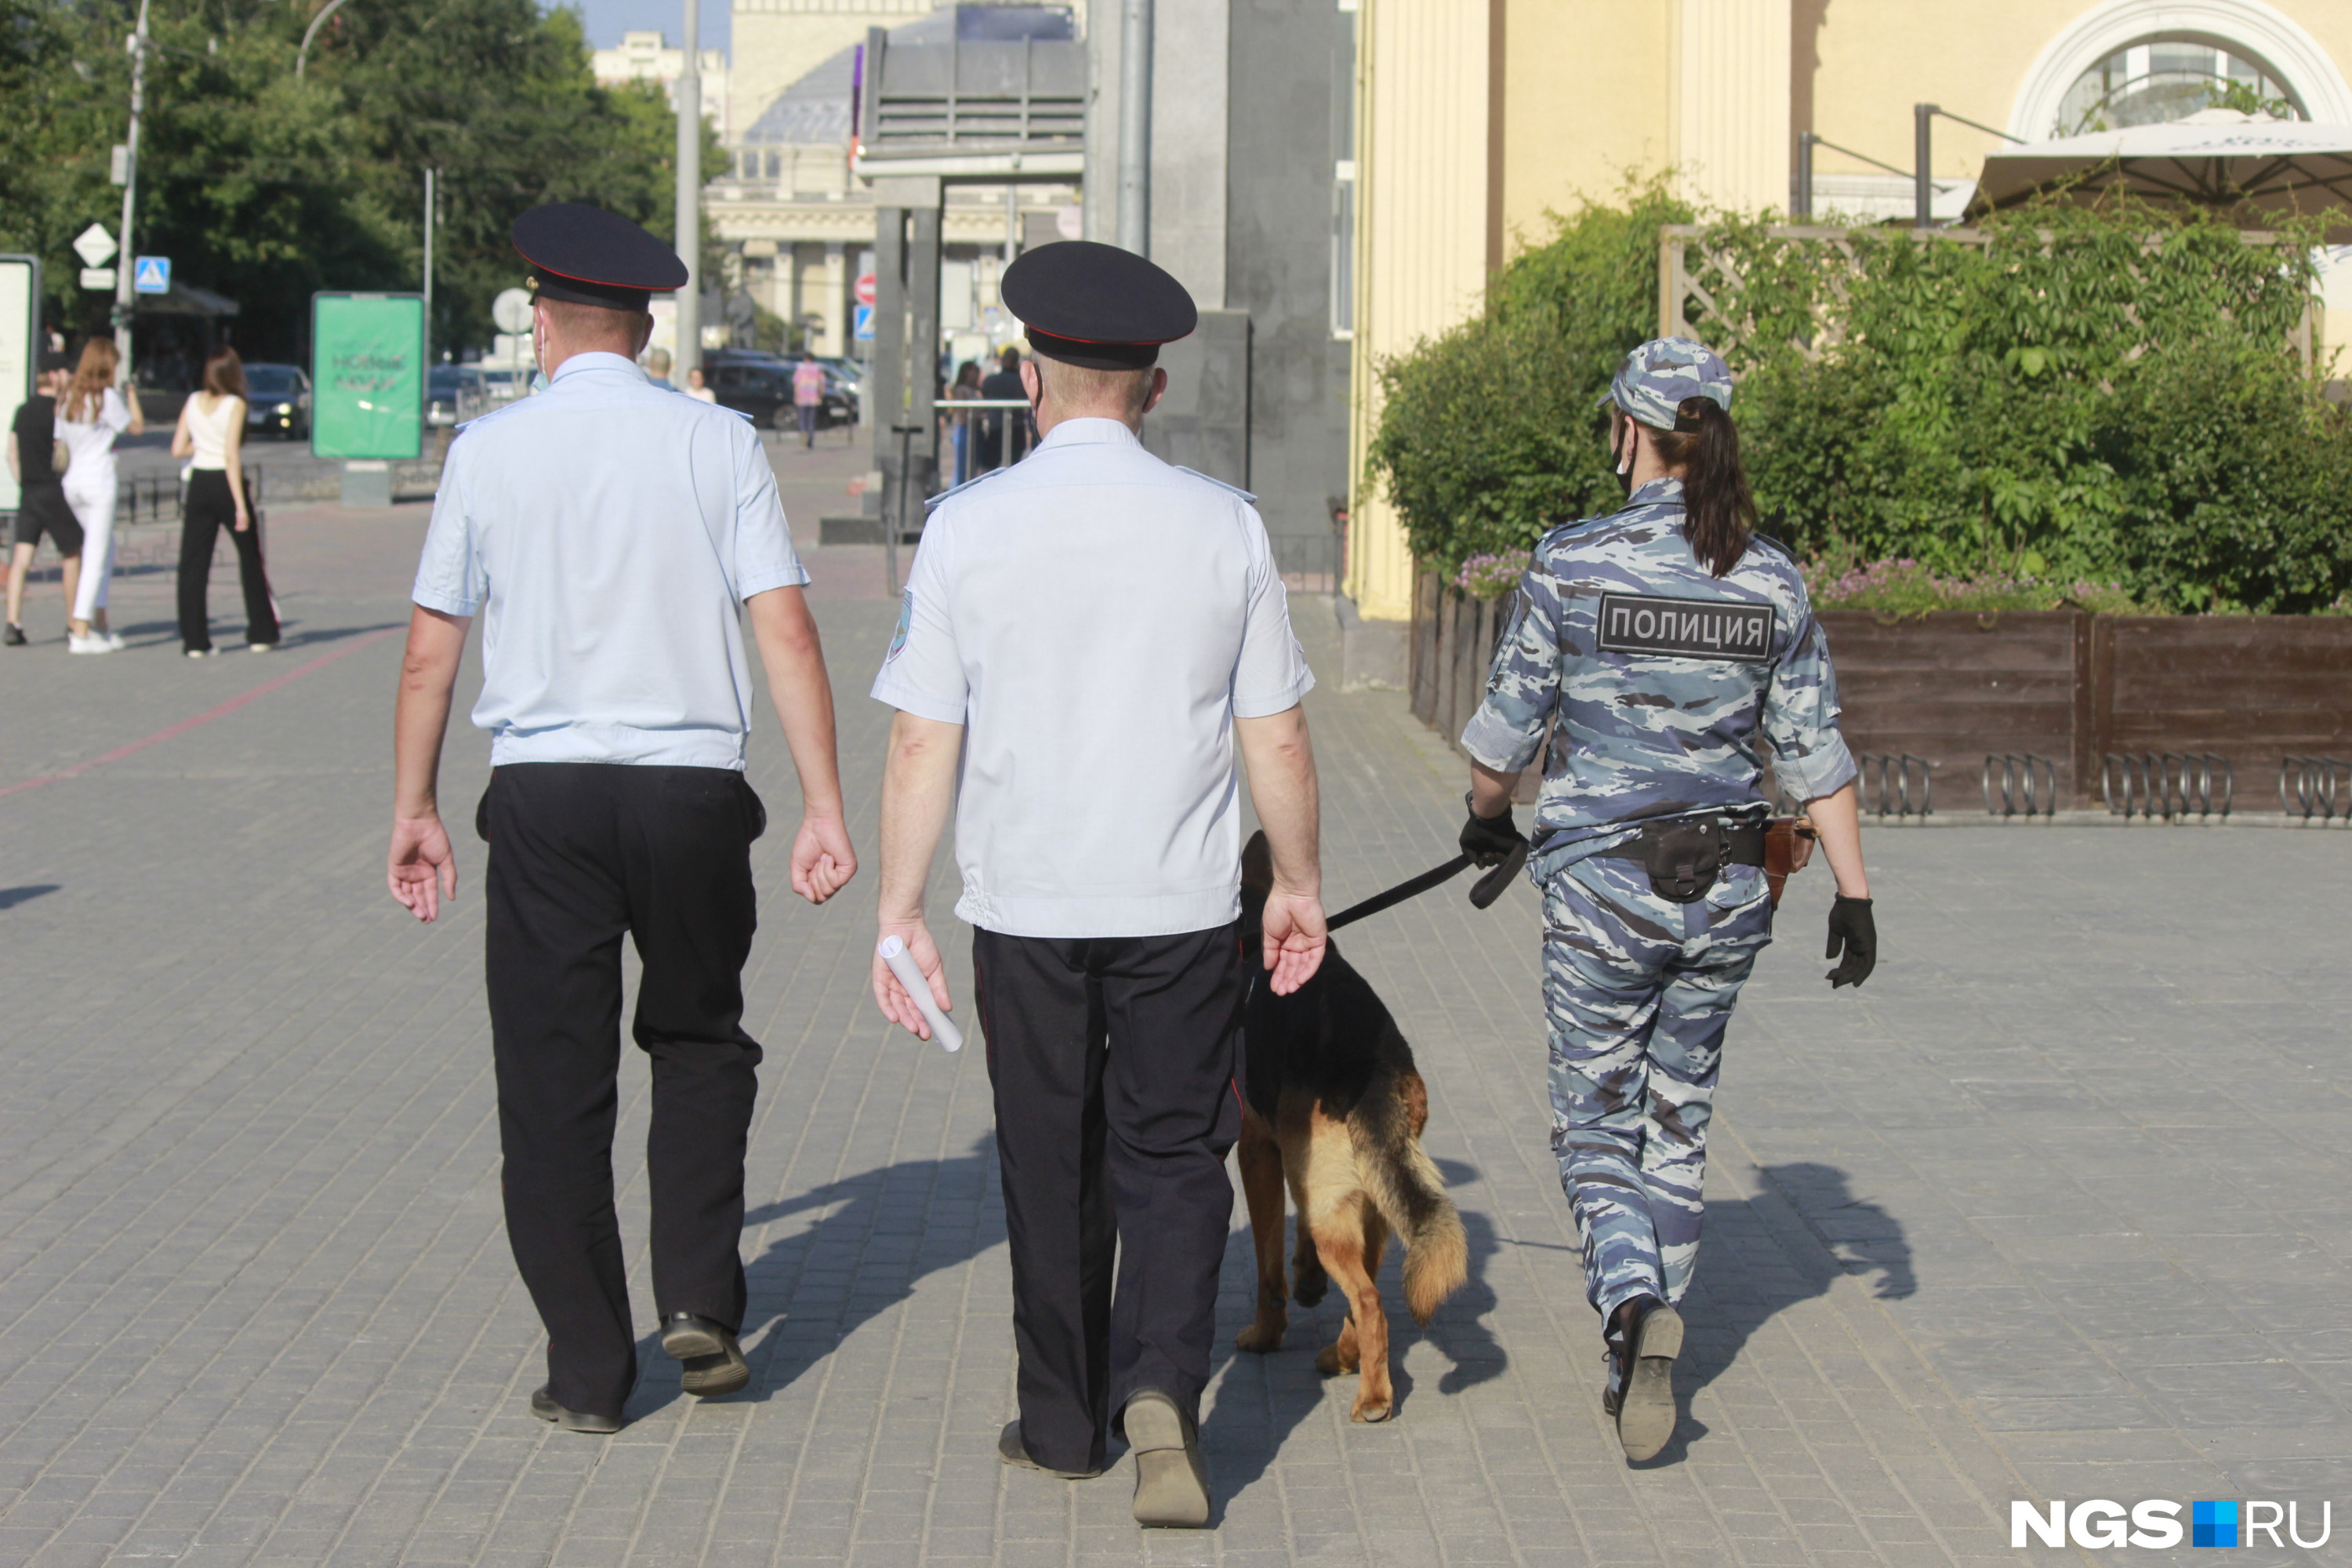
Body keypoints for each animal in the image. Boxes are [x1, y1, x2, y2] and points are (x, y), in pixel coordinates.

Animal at [1242, 832, 1458, 1420]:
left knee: (1369, 1300)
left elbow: (1267, 1266)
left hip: (1335, 1203)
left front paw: (1265, 1333)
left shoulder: (1257, 1152)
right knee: (1364, 1298)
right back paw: (1342, 1356)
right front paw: (1308, 1279)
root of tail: (1375, 1070)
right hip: (1369, 1204)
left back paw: (1373, 1396)